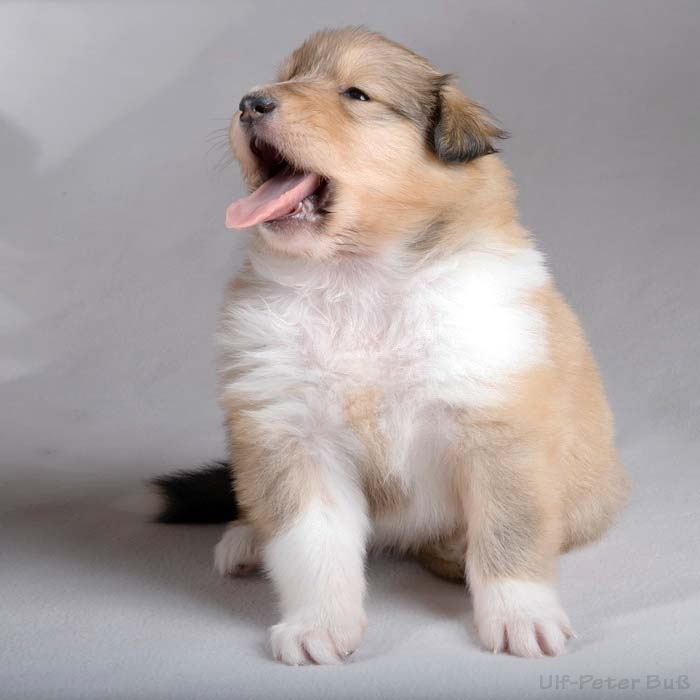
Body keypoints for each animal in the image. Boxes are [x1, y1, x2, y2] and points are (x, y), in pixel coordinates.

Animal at [153, 26, 630, 664]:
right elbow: (310, 545)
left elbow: (510, 534)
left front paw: (521, 619)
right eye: (288, 76)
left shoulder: (499, 424)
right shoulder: (292, 432)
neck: (360, 279)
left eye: (357, 94)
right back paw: (246, 539)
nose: (251, 102)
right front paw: (317, 628)